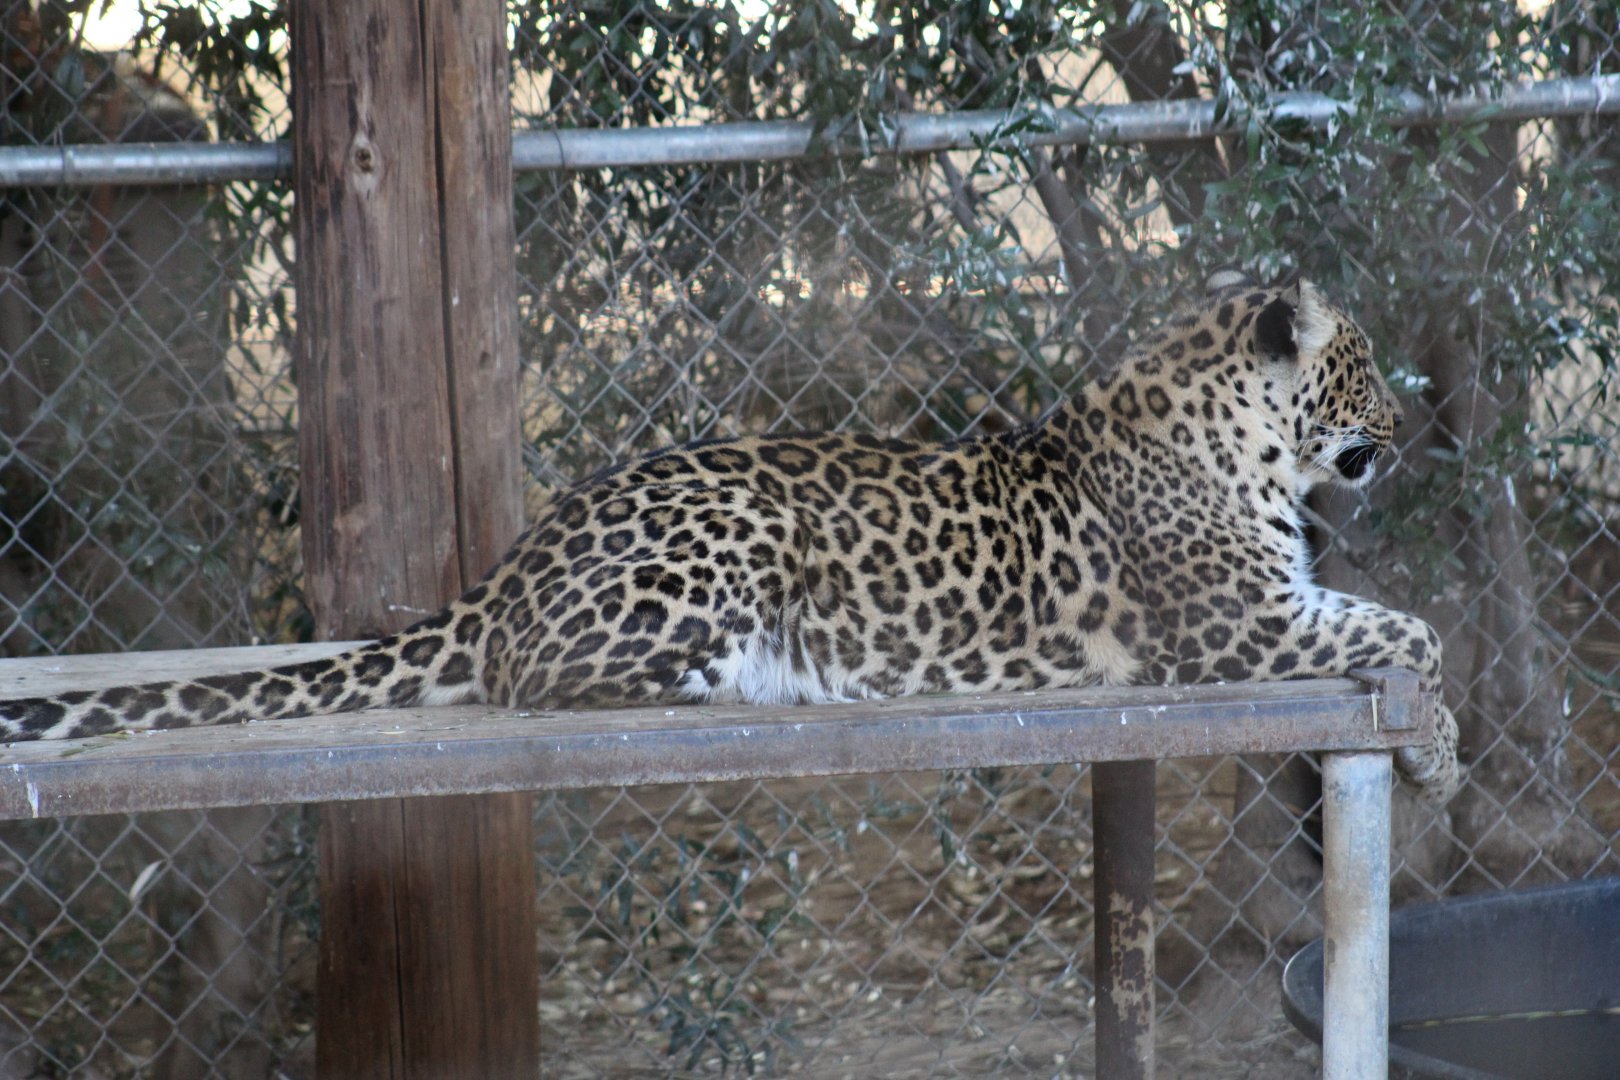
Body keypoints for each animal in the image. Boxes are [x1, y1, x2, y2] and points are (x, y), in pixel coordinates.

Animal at [0, 277, 1462, 802]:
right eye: (1361, 368)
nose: (1408, 422)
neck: (1238, 432)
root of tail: (510, 564)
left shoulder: (1272, 612)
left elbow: (1400, 620)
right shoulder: (1238, 628)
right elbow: (1416, 628)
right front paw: (1439, 757)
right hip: (738, 529)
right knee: (547, 681)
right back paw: (771, 680)